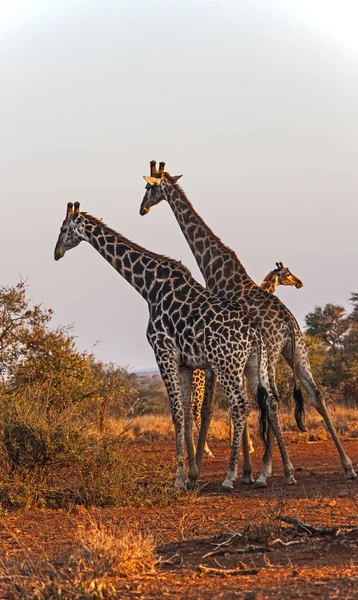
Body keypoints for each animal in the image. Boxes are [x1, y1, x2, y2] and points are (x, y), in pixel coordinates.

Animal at [194, 262, 304, 460]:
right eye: (288, 273)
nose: (299, 283)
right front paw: (247, 447)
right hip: (199, 380)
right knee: (195, 410)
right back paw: (205, 451)